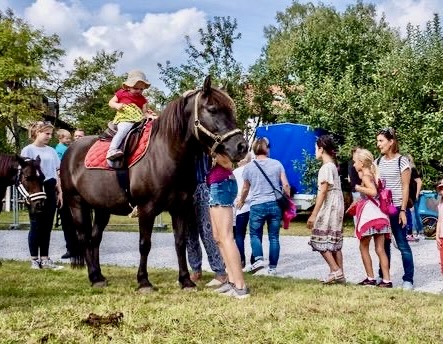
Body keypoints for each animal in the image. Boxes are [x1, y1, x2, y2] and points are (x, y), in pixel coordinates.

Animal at [60, 77, 248, 290]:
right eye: (212, 109)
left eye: (231, 111)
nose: (241, 147)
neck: (165, 154)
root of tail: (71, 150)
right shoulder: (146, 209)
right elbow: (145, 244)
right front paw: (143, 281)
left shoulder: (180, 208)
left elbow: (180, 243)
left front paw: (186, 280)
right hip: (76, 204)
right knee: (84, 238)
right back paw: (93, 276)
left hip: (102, 209)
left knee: (94, 239)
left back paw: (99, 276)